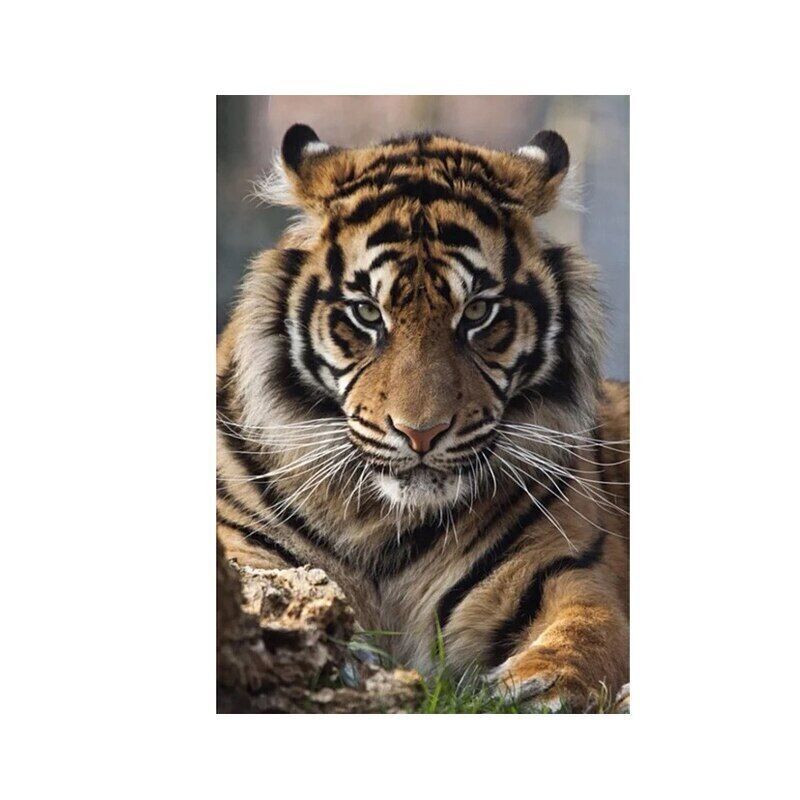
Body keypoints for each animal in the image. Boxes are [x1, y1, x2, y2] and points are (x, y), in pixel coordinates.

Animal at [216, 123, 629, 711]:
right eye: (367, 314)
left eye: (478, 312)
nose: (421, 433)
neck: (381, 521)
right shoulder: (243, 548)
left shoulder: (565, 568)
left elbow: (587, 631)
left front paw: (536, 687)